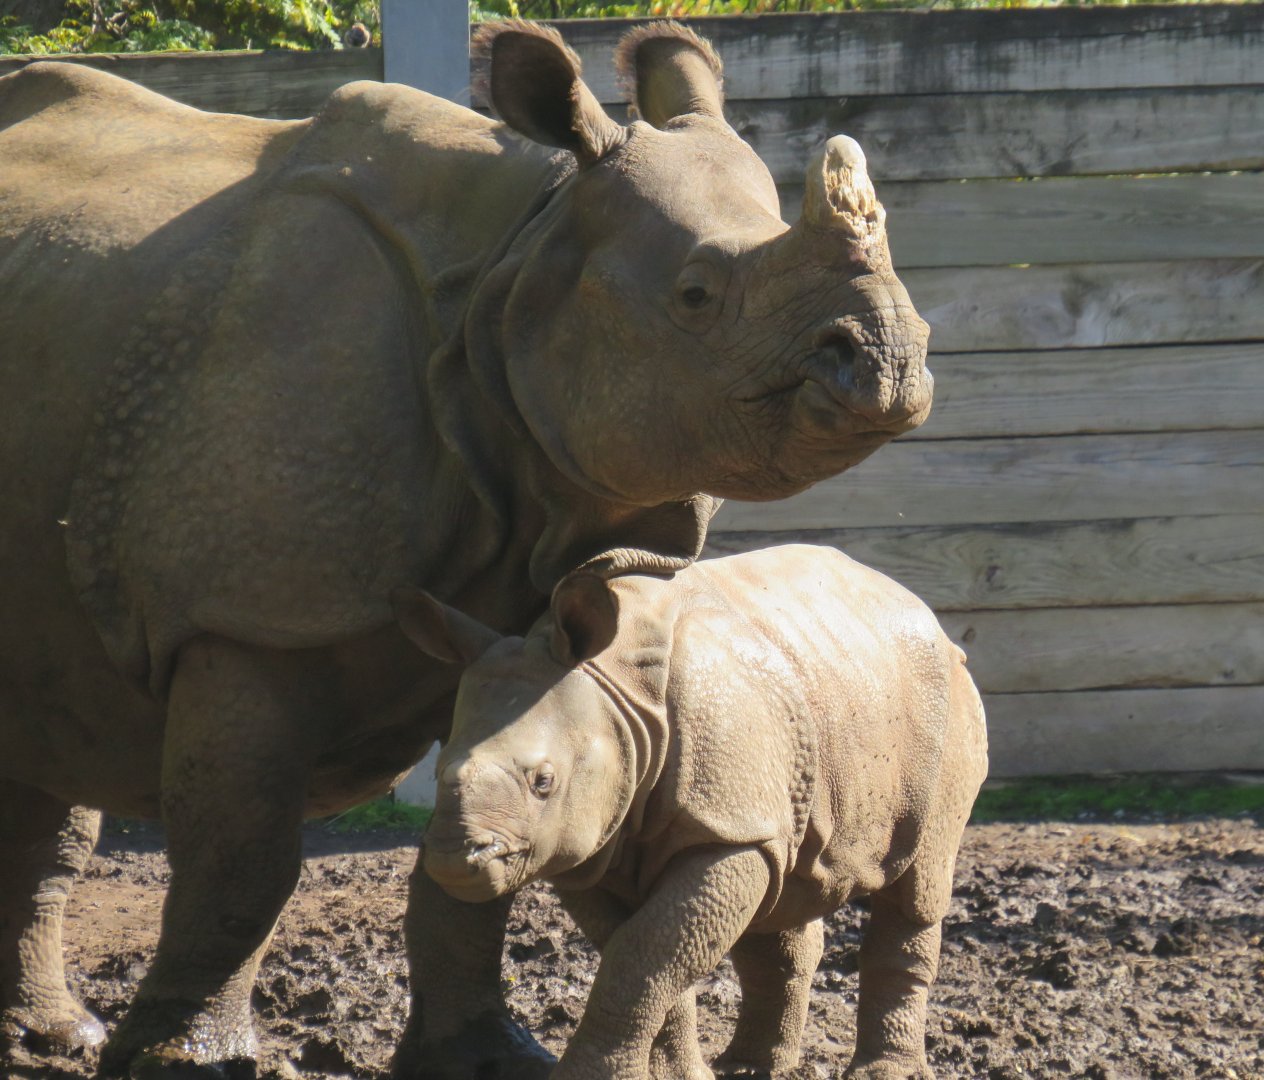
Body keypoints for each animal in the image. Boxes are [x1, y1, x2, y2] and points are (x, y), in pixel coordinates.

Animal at [403, 545, 988, 1080]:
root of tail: (928, 616)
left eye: (543, 782)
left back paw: (885, 1071)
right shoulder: (593, 847)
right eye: (435, 772)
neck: (619, 696)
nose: (455, 858)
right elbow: (649, 957)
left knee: (917, 887)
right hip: (811, 717)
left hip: (946, 709)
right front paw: (677, 1075)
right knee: (782, 886)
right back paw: (751, 1069)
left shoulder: (726, 828)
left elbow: (642, 955)